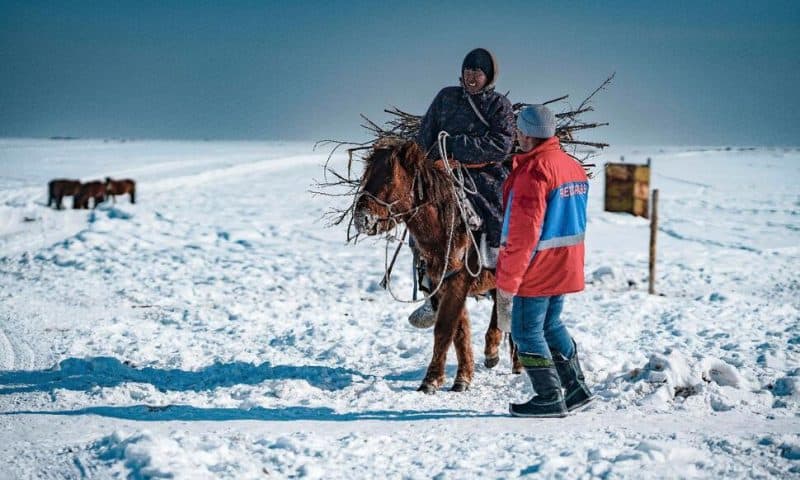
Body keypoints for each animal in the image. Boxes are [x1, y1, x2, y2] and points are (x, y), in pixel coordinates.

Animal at [354, 140, 520, 394]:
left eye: (390, 179)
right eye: (367, 175)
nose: (362, 219)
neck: (444, 227)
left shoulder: (458, 281)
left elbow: (444, 327)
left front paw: (431, 380)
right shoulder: (440, 283)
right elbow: (459, 331)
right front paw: (463, 377)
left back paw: (517, 362)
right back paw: (492, 352)